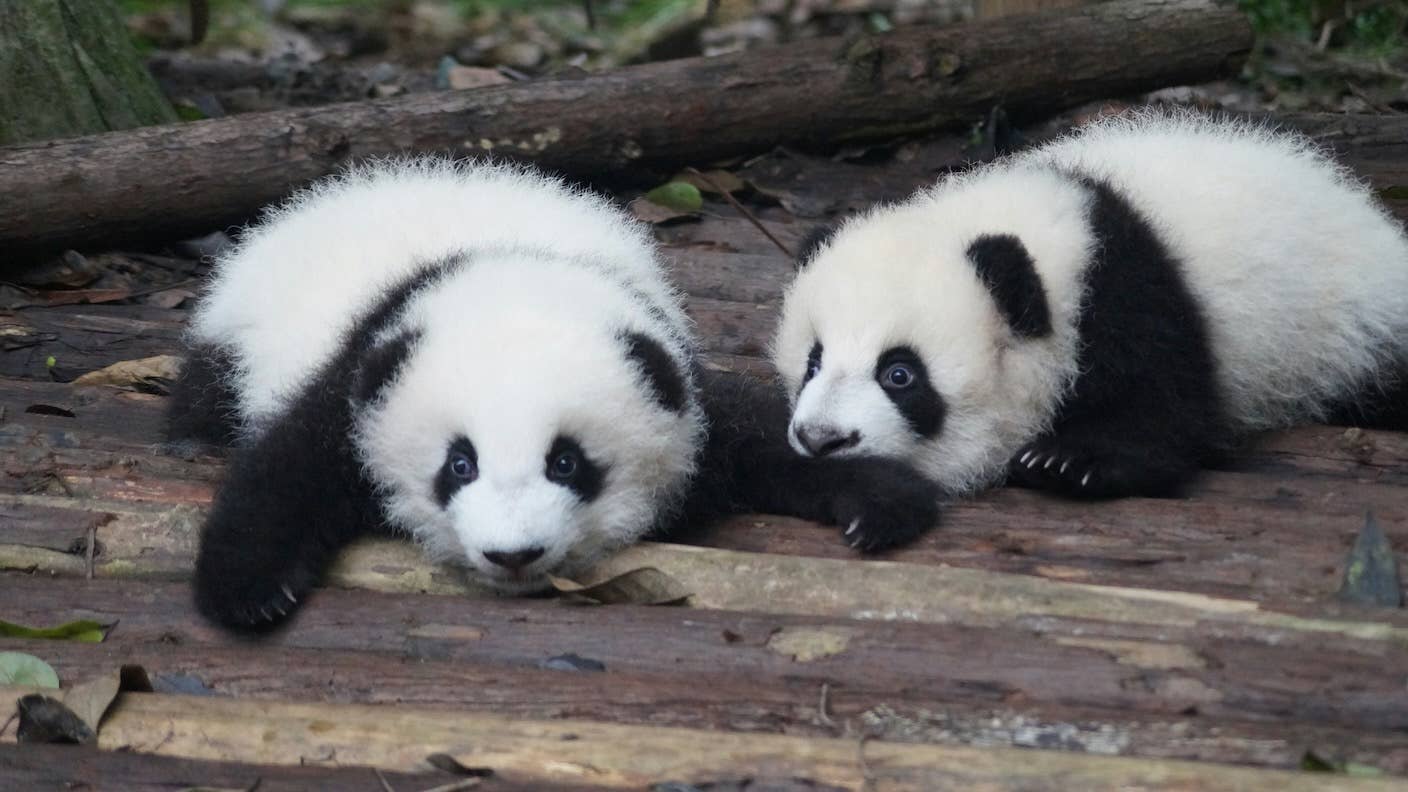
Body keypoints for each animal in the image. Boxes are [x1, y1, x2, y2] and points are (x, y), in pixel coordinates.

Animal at [170, 158, 940, 632]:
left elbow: (757, 435)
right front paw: (249, 592)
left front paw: (878, 500)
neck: (514, 268)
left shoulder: (670, 370)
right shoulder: (365, 368)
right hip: (233, 335)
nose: (513, 556)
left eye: (567, 463)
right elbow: (290, 467)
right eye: (459, 465)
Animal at [774, 109, 1408, 501]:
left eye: (899, 374)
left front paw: (1069, 461)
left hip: (1355, 329)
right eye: (813, 361)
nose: (822, 439)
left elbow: (1163, 407)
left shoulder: (1130, 294)